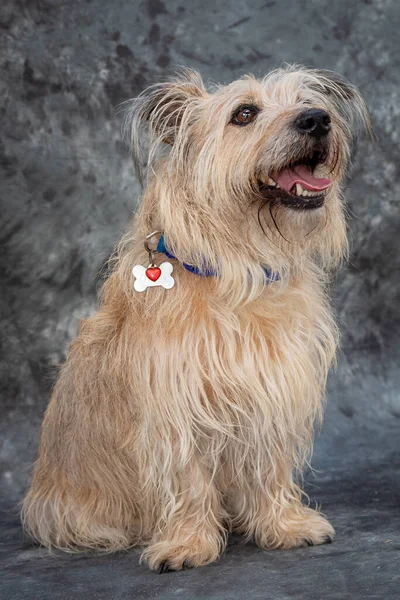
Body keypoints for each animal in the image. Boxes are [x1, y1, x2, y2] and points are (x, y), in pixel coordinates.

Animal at [21, 64, 370, 572]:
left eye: (309, 102)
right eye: (244, 113)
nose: (317, 120)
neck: (240, 269)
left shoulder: (273, 388)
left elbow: (269, 466)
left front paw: (284, 525)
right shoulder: (177, 405)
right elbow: (186, 478)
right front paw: (188, 543)